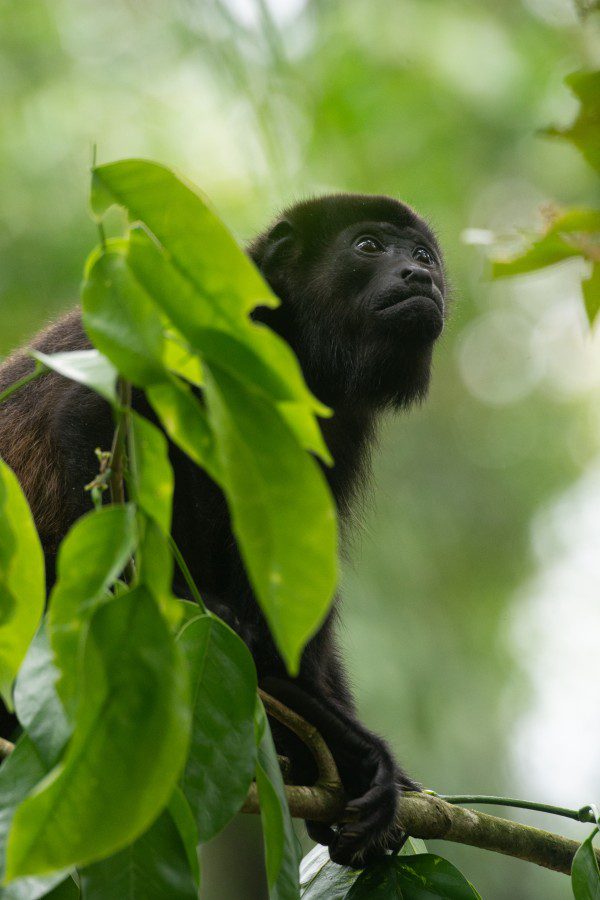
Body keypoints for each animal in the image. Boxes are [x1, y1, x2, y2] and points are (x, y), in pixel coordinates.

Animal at [0, 195, 446, 864]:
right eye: (368, 247)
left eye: (422, 255)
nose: (420, 276)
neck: (299, 347)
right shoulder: (202, 311)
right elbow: (92, 416)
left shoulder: (340, 423)